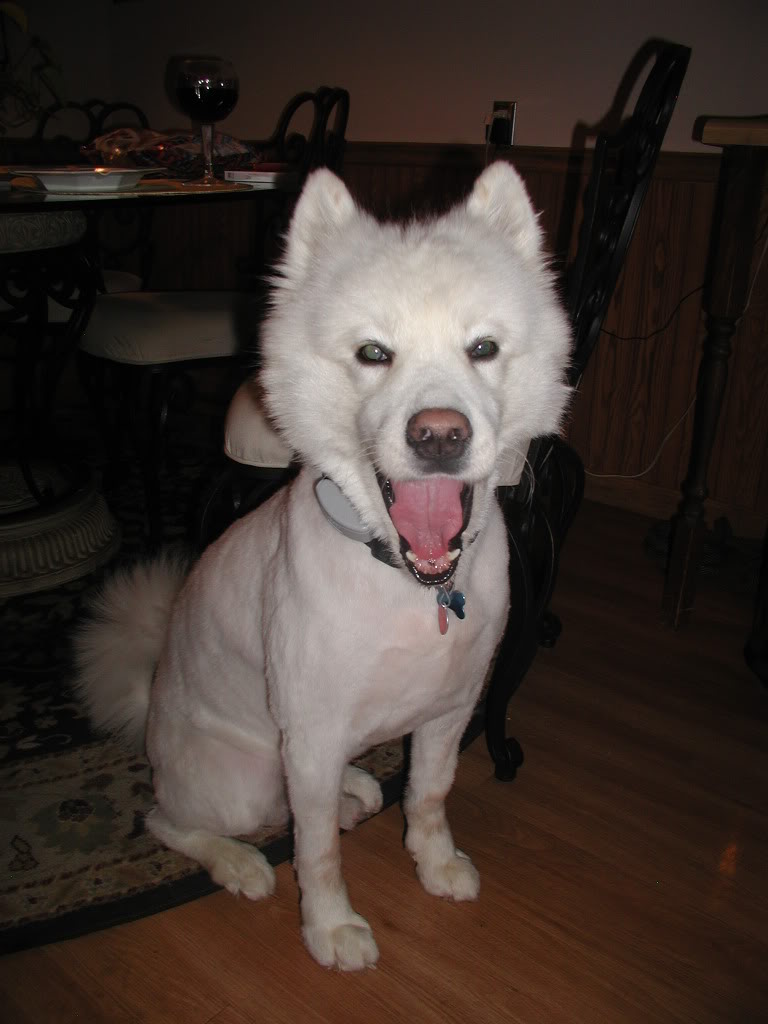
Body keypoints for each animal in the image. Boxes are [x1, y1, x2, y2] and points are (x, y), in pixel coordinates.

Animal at [74, 162, 571, 970]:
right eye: (373, 353)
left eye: (483, 348)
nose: (439, 436)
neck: (411, 588)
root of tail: (151, 710)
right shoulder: (309, 732)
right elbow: (315, 857)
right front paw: (331, 929)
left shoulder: (450, 711)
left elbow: (429, 796)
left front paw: (436, 865)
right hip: (237, 782)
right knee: (168, 821)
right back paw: (242, 863)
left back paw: (355, 792)